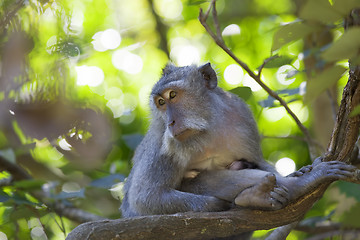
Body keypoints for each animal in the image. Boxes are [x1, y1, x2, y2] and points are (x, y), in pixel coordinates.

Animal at [119, 62, 356, 219]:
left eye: (173, 95)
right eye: (160, 102)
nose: (171, 122)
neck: (207, 128)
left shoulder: (242, 115)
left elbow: (258, 161)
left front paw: (296, 173)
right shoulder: (162, 144)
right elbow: (144, 199)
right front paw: (216, 204)